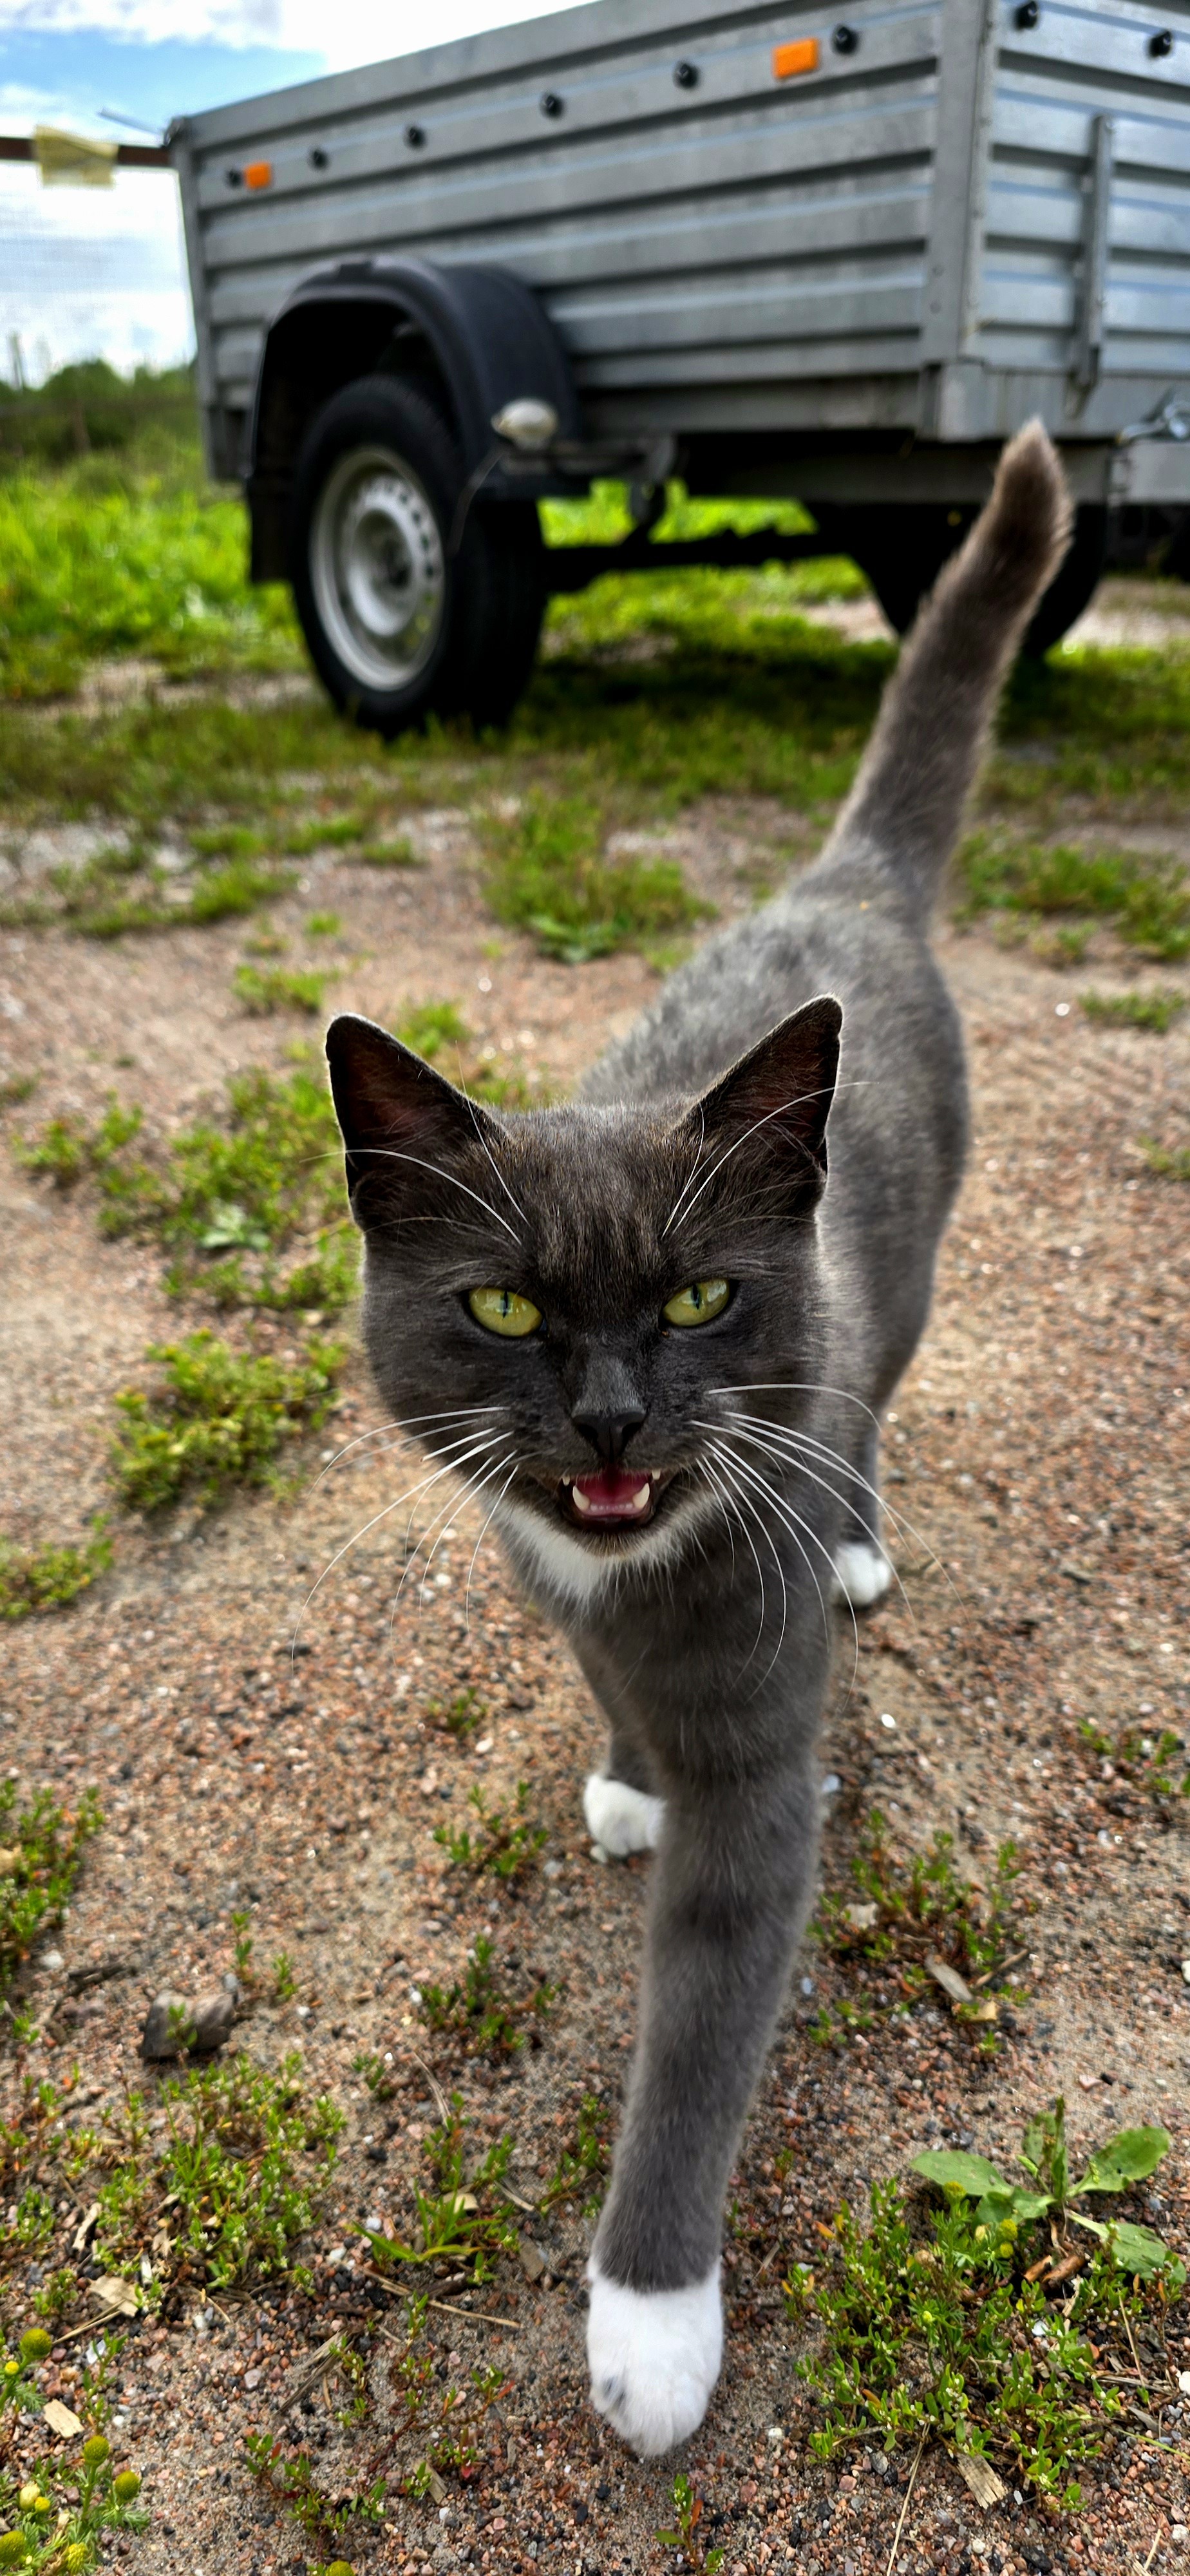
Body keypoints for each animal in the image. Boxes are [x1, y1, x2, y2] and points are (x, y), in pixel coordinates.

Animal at [323, 422, 1072, 2452]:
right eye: (506, 1311)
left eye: (695, 1303)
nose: (606, 1417)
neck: (634, 1574)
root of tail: (842, 880)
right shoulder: (549, 1580)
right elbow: (600, 1691)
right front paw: (619, 1769)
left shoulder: (765, 1763)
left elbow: (706, 2024)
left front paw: (651, 2324)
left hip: (910, 1276)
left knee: (876, 1390)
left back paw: (870, 1534)